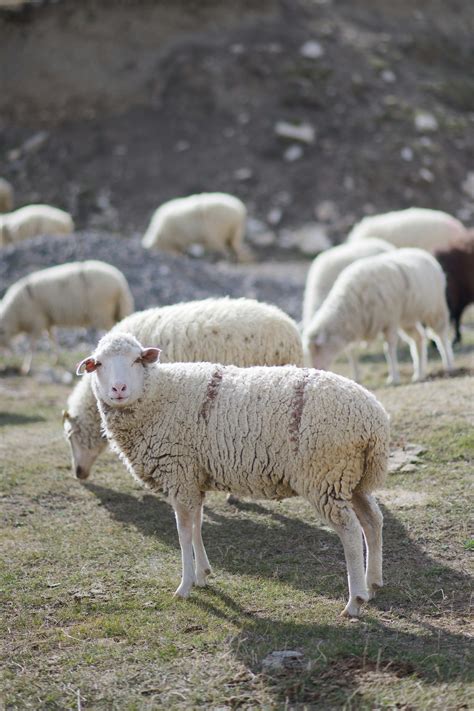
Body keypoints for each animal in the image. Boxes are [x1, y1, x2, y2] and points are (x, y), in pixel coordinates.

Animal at [0, 260, 134, 373]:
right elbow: (52, 339)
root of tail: (121, 284)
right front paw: (56, 359)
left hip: (102, 313)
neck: (15, 316)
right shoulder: (48, 321)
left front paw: (26, 367)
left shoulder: (37, 322)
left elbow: (31, 346)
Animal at [77, 331, 390, 618]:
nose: (118, 388)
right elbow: (197, 526)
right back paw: (374, 584)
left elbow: (183, 533)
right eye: (99, 364)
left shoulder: (179, 474)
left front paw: (185, 586)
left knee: (350, 532)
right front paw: (202, 575)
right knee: (373, 521)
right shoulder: (194, 478)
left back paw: (355, 601)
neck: (158, 396)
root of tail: (374, 419)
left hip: (324, 476)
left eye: (137, 360)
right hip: (351, 479)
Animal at [303, 248, 454, 384]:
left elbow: (389, 349)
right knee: (418, 338)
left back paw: (448, 365)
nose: (316, 369)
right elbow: (352, 353)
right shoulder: (356, 327)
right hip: (407, 319)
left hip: (435, 308)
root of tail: (423, 253)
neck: (349, 305)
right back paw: (418, 374)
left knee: (440, 336)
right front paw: (356, 377)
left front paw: (393, 378)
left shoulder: (390, 321)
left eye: (318, 348)